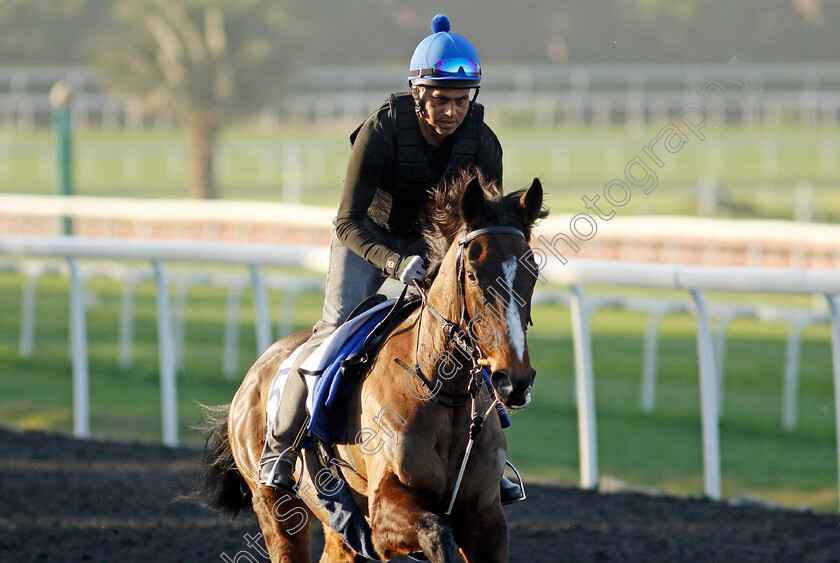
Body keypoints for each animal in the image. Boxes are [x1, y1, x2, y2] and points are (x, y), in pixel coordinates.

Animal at [190, 173, 544, 563]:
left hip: (340, 523)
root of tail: (251, 379)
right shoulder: (384, 507)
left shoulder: (486, 518)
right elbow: (437, 532)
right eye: (475, 275)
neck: (440, 390)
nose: (514, 380)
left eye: (533, 272)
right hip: (276, 506)